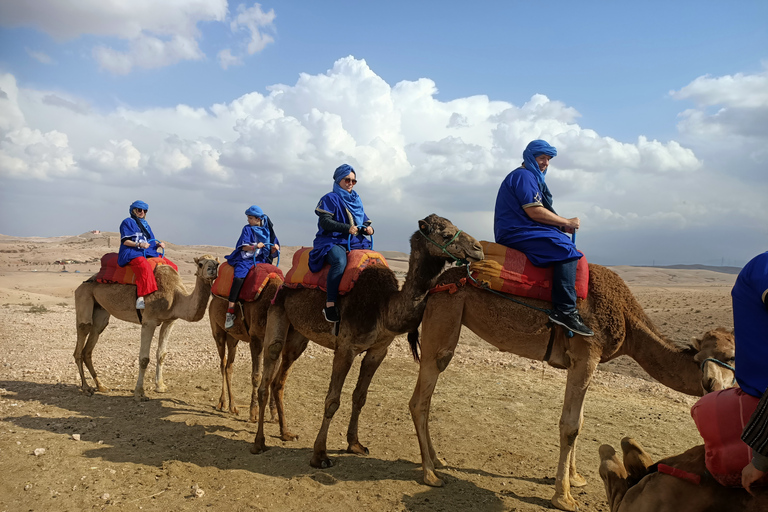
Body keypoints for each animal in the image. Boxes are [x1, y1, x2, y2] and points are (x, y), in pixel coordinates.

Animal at [74, 255, 219, 400]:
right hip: (84, 296)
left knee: (91, 341)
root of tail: (81, 285)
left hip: (101, 310)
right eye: (200, 264)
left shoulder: (169, 321)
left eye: (217, 263)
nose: (212, 269)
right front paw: (139, 392)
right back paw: (86, 387)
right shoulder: (149, 321)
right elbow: (144, 359)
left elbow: (161, 354)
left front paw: (160, 386)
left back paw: (101, 386)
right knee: (83, 333)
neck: (175, 296)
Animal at [249, 214, 484, 470]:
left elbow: (360, 396)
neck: (383, 307)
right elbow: (332, 400)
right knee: (268, 371)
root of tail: (284, 281)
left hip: (299, 335)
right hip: (277, 311)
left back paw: (286, 433)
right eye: (445, 233)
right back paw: (259, 443)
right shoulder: (346, 348)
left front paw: (355, 444)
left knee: (279, 381)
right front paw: (320, 455)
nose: (478, 249)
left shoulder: (378, 350)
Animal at [408, 262, 736, 510]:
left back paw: (437, 460)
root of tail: (436, 285)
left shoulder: (584, 361)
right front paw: (563, 496)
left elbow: (581, 419)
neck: (629, 325)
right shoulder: (586, 354)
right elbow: (570, 425)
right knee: (420, 396)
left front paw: (576, 478)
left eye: (732, 355)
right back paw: (430, 474)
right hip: (446, 313)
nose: (710, 383)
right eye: (710, 357)